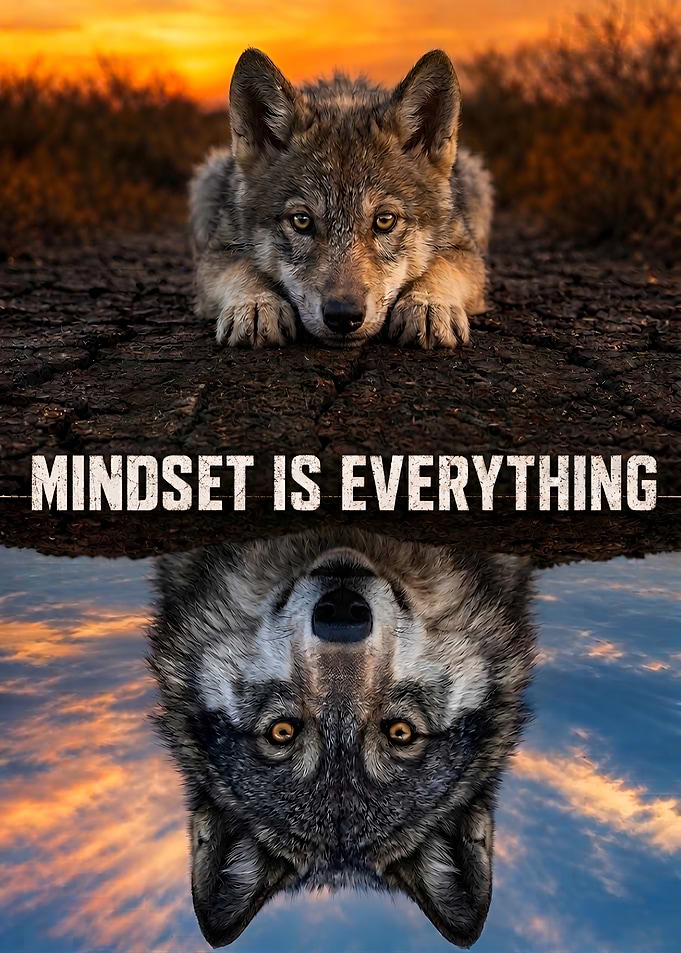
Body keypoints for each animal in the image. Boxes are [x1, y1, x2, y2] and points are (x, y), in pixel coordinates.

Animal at [190, 48, 493, 349]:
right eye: (301, 221)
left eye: (385, 220)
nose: (343, 315)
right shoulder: (217, 251)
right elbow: (242, 267)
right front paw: (256, 304)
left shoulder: (467, 251)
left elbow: (440, 265)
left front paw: (427, 303)